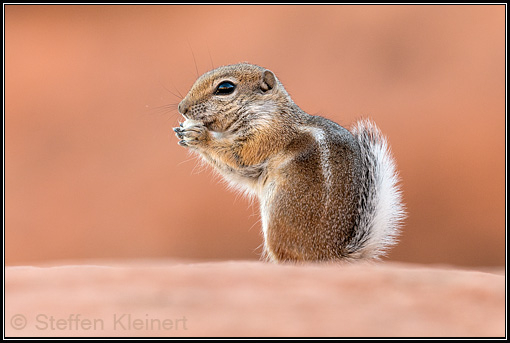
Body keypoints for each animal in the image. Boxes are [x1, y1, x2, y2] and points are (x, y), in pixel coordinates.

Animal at [173, 62, 404, 264]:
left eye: (225, 88)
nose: (182, 107)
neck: (270, 113)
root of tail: (331, 254)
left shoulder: (264, 137)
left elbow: (238, 156)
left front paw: (199, 135)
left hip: (278, 222)